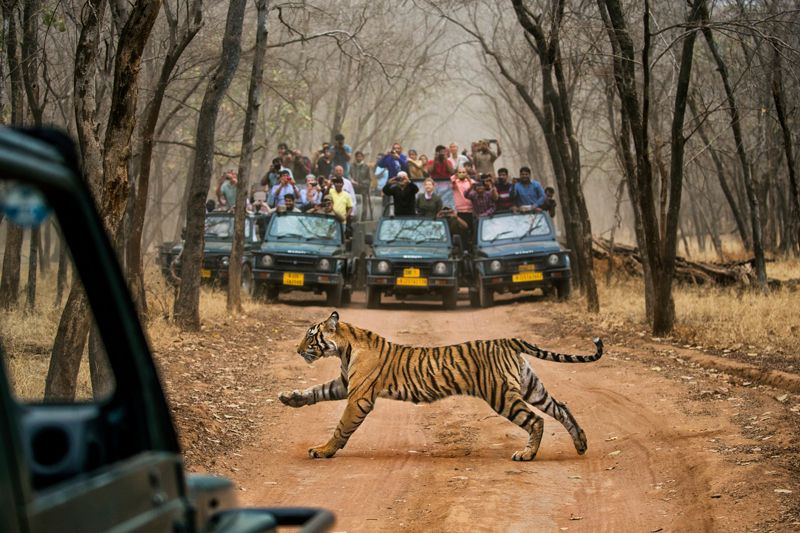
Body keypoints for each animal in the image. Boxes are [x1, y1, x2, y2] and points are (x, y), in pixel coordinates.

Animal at [278, 310, 604, 460]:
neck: (345, 346)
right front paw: (289, 398)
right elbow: (316, 391)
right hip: (530, 386)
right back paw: (581, 443)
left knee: (536, 420)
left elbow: (341, 427)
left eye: (310, 337)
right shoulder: (346, 383)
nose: (297, 350)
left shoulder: (359, 397)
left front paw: (323, 450)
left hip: (502, 395)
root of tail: (507, 340)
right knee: (561, 408)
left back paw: (526, 455)